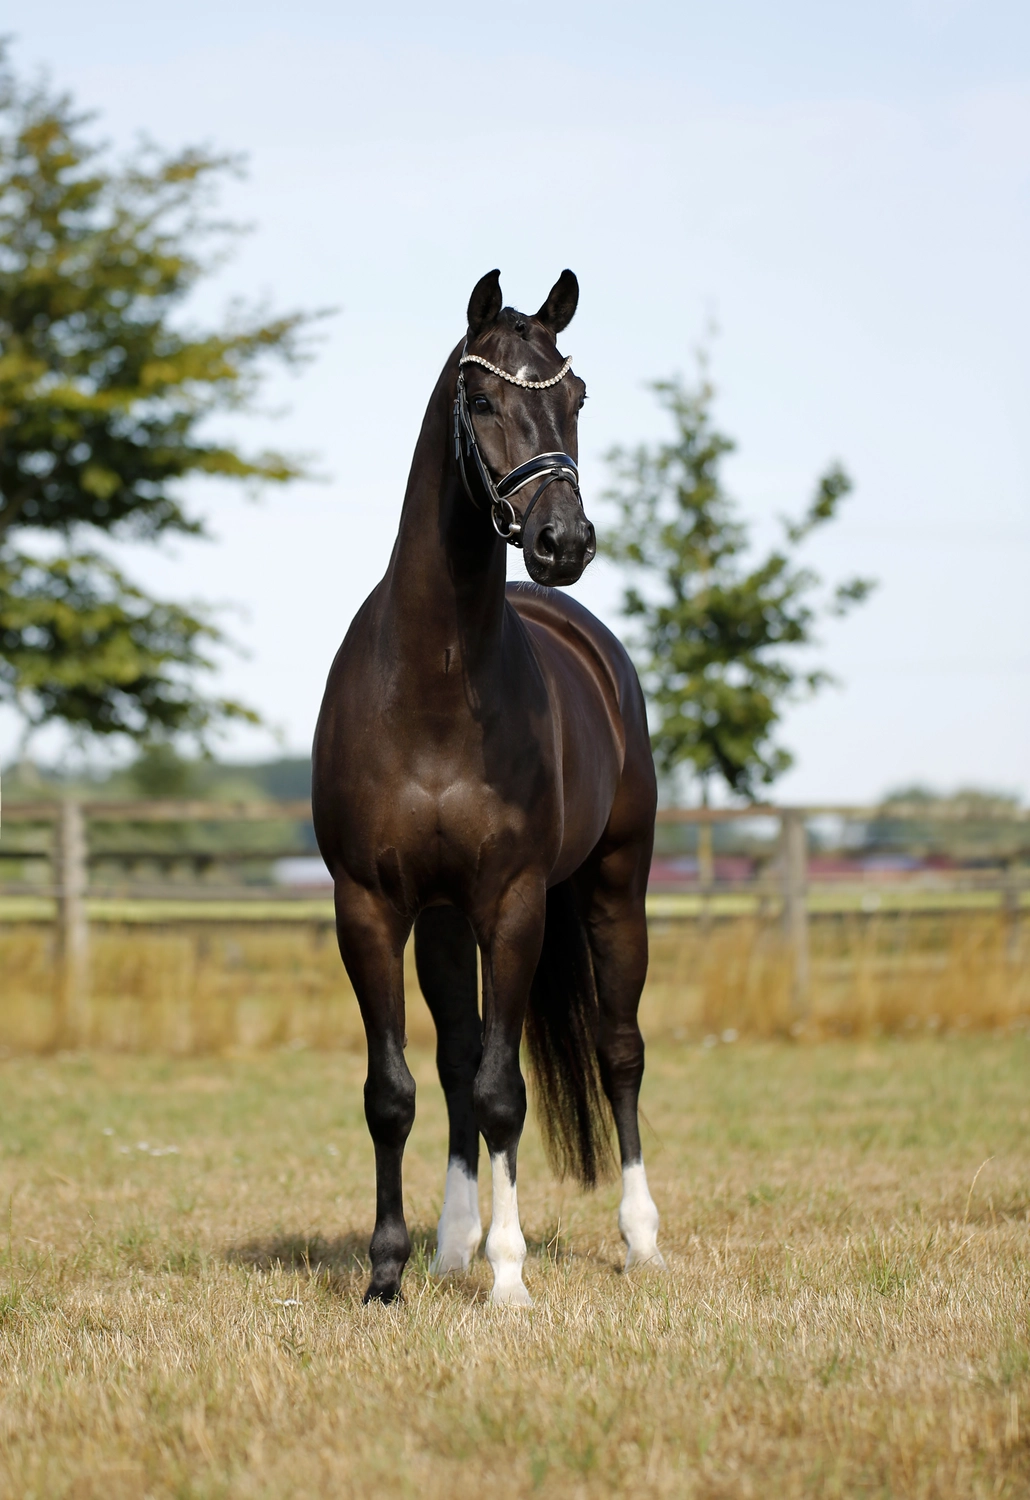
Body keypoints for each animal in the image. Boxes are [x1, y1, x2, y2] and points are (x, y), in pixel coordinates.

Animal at [312, 269, 664, 1305]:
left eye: (576, 396)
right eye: (479, 401)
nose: (562, 540)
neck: (433, 680)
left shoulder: (513, 902)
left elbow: (508, 1091)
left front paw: (509, 1278)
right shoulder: (373, 906)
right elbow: (396, 1092)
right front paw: (387, 1274)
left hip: (614, 887)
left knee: (619, 1051)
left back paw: (639, 1238)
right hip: (442, 919)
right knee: (461, 1060)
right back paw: (451, 1241)